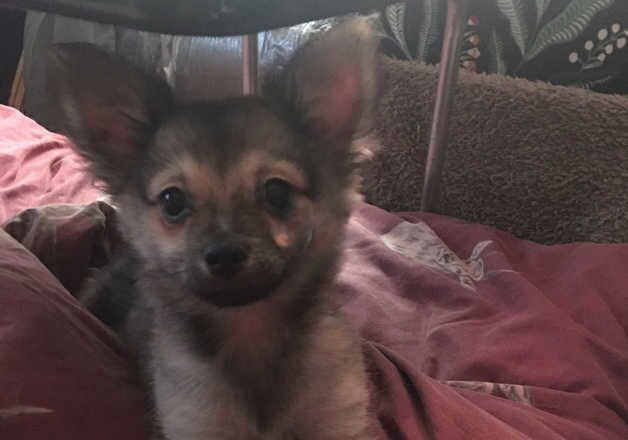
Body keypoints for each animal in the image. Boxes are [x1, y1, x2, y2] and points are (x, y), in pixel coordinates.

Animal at [48, 17, 380, 440]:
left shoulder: (339, 416)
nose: (223, 254)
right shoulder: (196, 419)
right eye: (172, 201)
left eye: (277, 191)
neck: (250, 330)